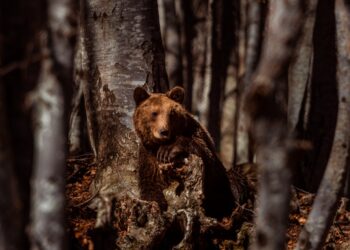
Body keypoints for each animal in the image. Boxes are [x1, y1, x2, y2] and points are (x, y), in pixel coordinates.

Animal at [133, 86, 237, 219]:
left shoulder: (197, 134)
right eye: (154, 113)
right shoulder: (148, 157)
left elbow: (208, 159)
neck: (158, 145)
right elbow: (151, 188)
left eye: (171, 113)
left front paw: (167, 151)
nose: (164, 131)